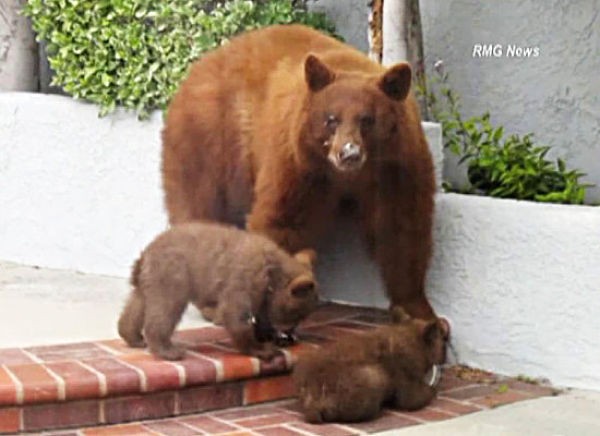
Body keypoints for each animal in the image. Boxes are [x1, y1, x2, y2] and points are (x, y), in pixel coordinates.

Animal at [162, 23, 438, 320]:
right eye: (331, 119)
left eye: (367, 120)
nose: (349, 153)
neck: (348, 177)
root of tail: (196, 69)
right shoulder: (298, 165)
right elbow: (283, 221)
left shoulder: (396, 168)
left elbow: (401, 228)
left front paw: (419, 309)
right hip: (208, 144)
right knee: (202, 211)